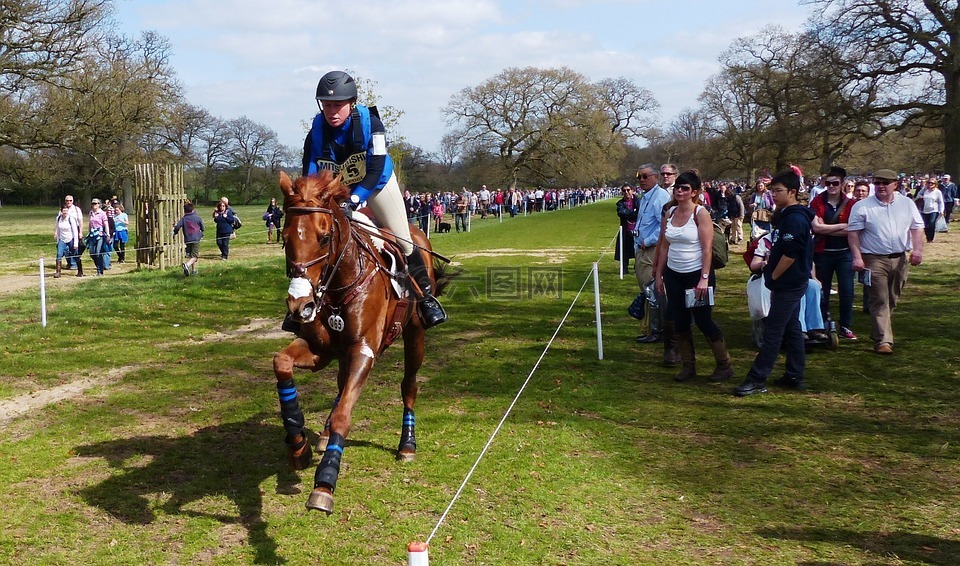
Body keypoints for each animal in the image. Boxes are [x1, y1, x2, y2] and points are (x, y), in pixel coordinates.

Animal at [274, 171, 442, 516]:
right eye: (285, 237)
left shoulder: (364, 350)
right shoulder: (322, 350)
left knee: (409, 386)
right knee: (341, 385)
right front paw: (298, 444)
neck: (338, 286)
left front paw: (325, 482)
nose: (300, 306)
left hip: (415, 336)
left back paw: (407, 443)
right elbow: (282, 363)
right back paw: (323, 433)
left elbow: (345, 414)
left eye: (324, 237)